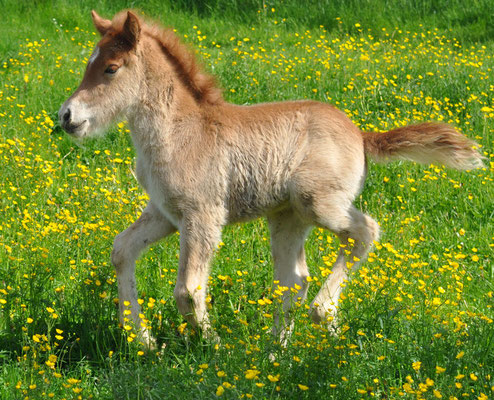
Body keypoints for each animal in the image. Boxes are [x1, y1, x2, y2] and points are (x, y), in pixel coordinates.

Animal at [58, 10, 482, 344]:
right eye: (87, 65)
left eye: (111, 68)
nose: (66, 116)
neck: (181, 131)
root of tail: (361, 135)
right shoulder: (165, 213)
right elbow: (121, 250)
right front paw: (143, 341)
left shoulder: (203, 215)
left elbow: (187, 289)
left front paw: (213, 349)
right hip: (287, 216)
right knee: (293, 280)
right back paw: (279, 352)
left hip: (318, 203)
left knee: (364, 232)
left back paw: (324, 317)